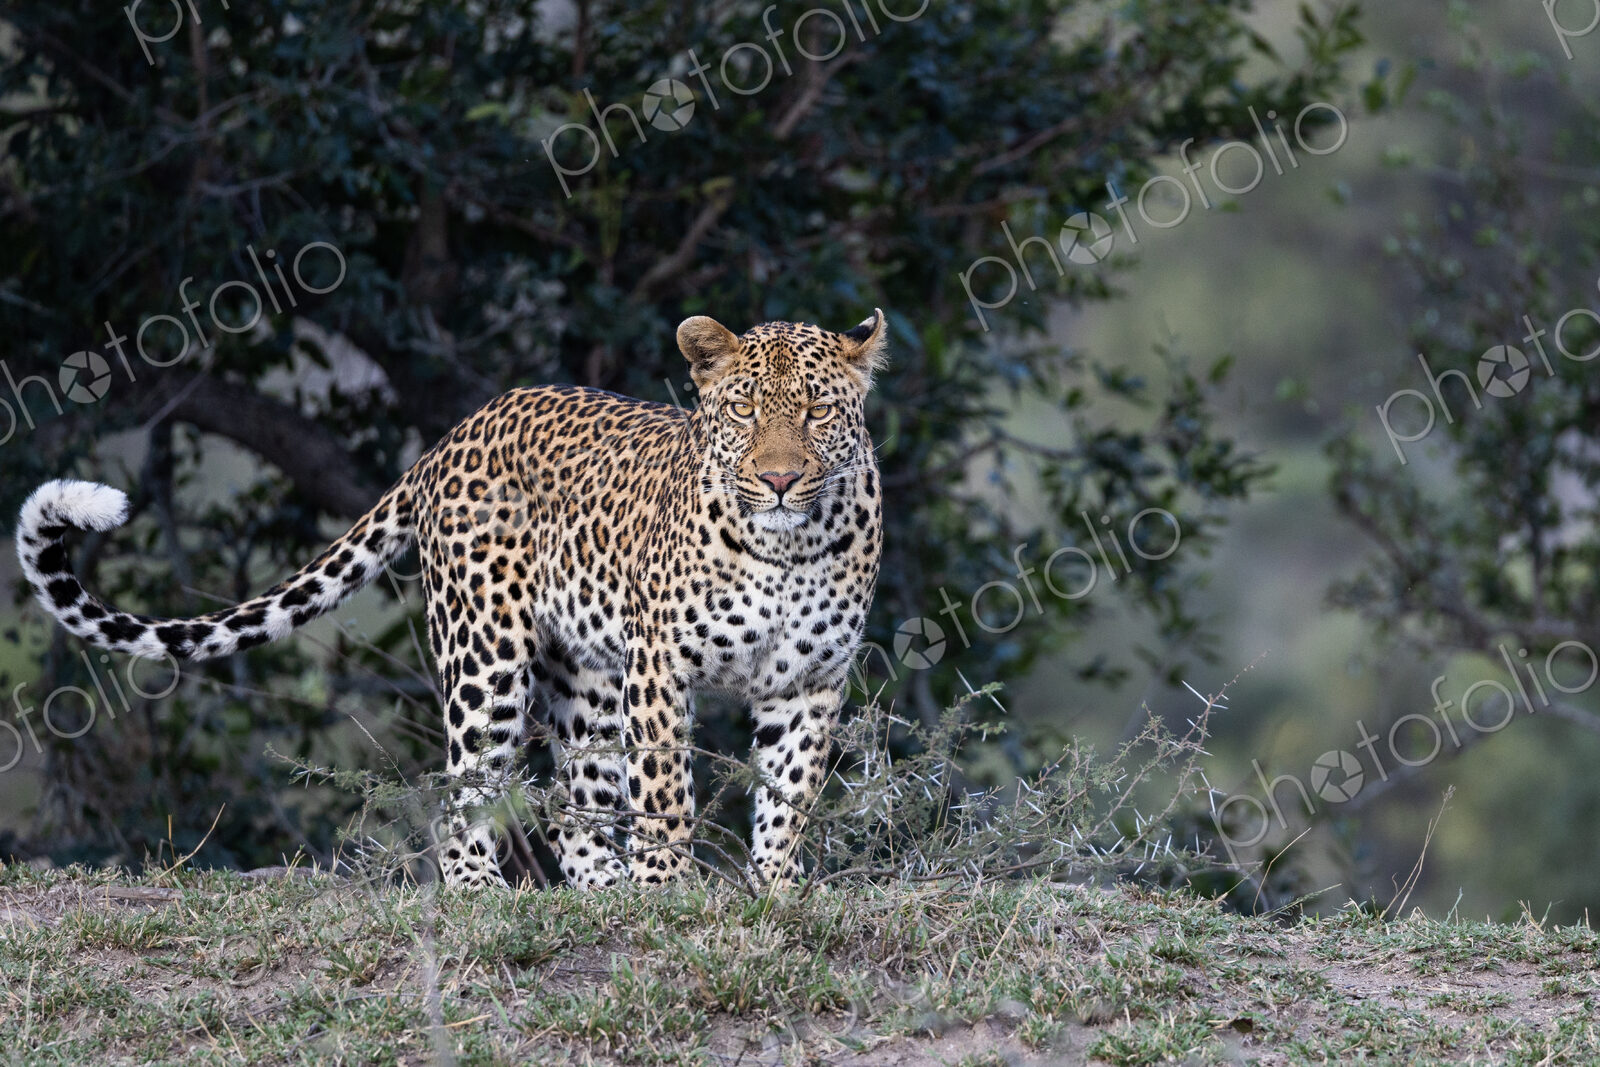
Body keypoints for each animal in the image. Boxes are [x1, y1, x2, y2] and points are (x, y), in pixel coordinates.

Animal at [15, 310, 888, 890]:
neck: (785, 547)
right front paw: (670, 891)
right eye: (744, 409)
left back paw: (603, 895)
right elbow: (666, 789)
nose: (780, 477)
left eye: (816, 410)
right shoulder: (662, 666)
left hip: (587, 673)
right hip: (486, 656)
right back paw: (487, 898)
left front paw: (773, 891)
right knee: (463, 797)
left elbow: (789, 792)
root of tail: (456, 432)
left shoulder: (810, 680)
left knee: (575, 803)